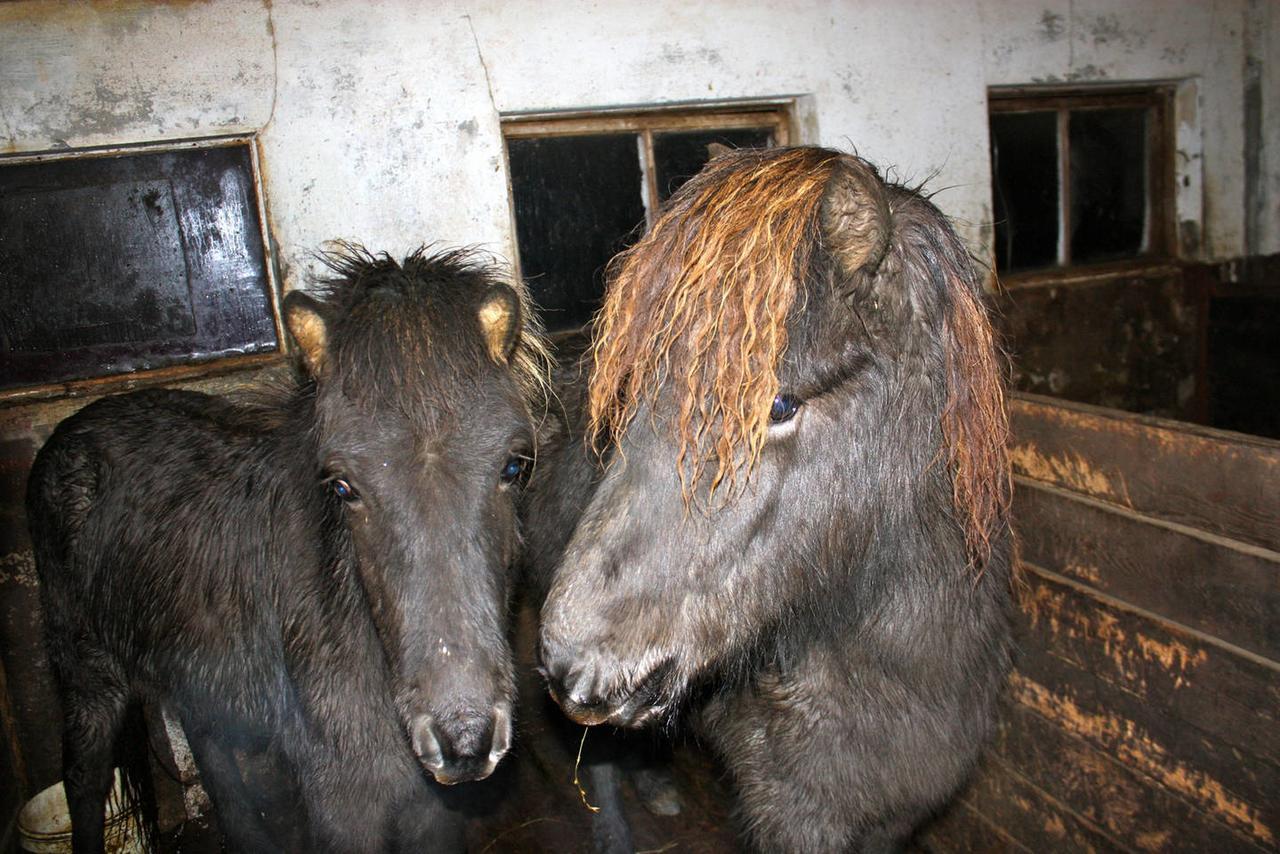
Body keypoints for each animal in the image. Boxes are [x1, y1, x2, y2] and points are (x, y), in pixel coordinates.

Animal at [24, 247, 545, 854]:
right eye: (342, 486)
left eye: (513, 465)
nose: (464, 738)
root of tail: (70, 433)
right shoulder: (344, 806)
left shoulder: (430, 811)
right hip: (87, 675)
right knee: (84, 780)